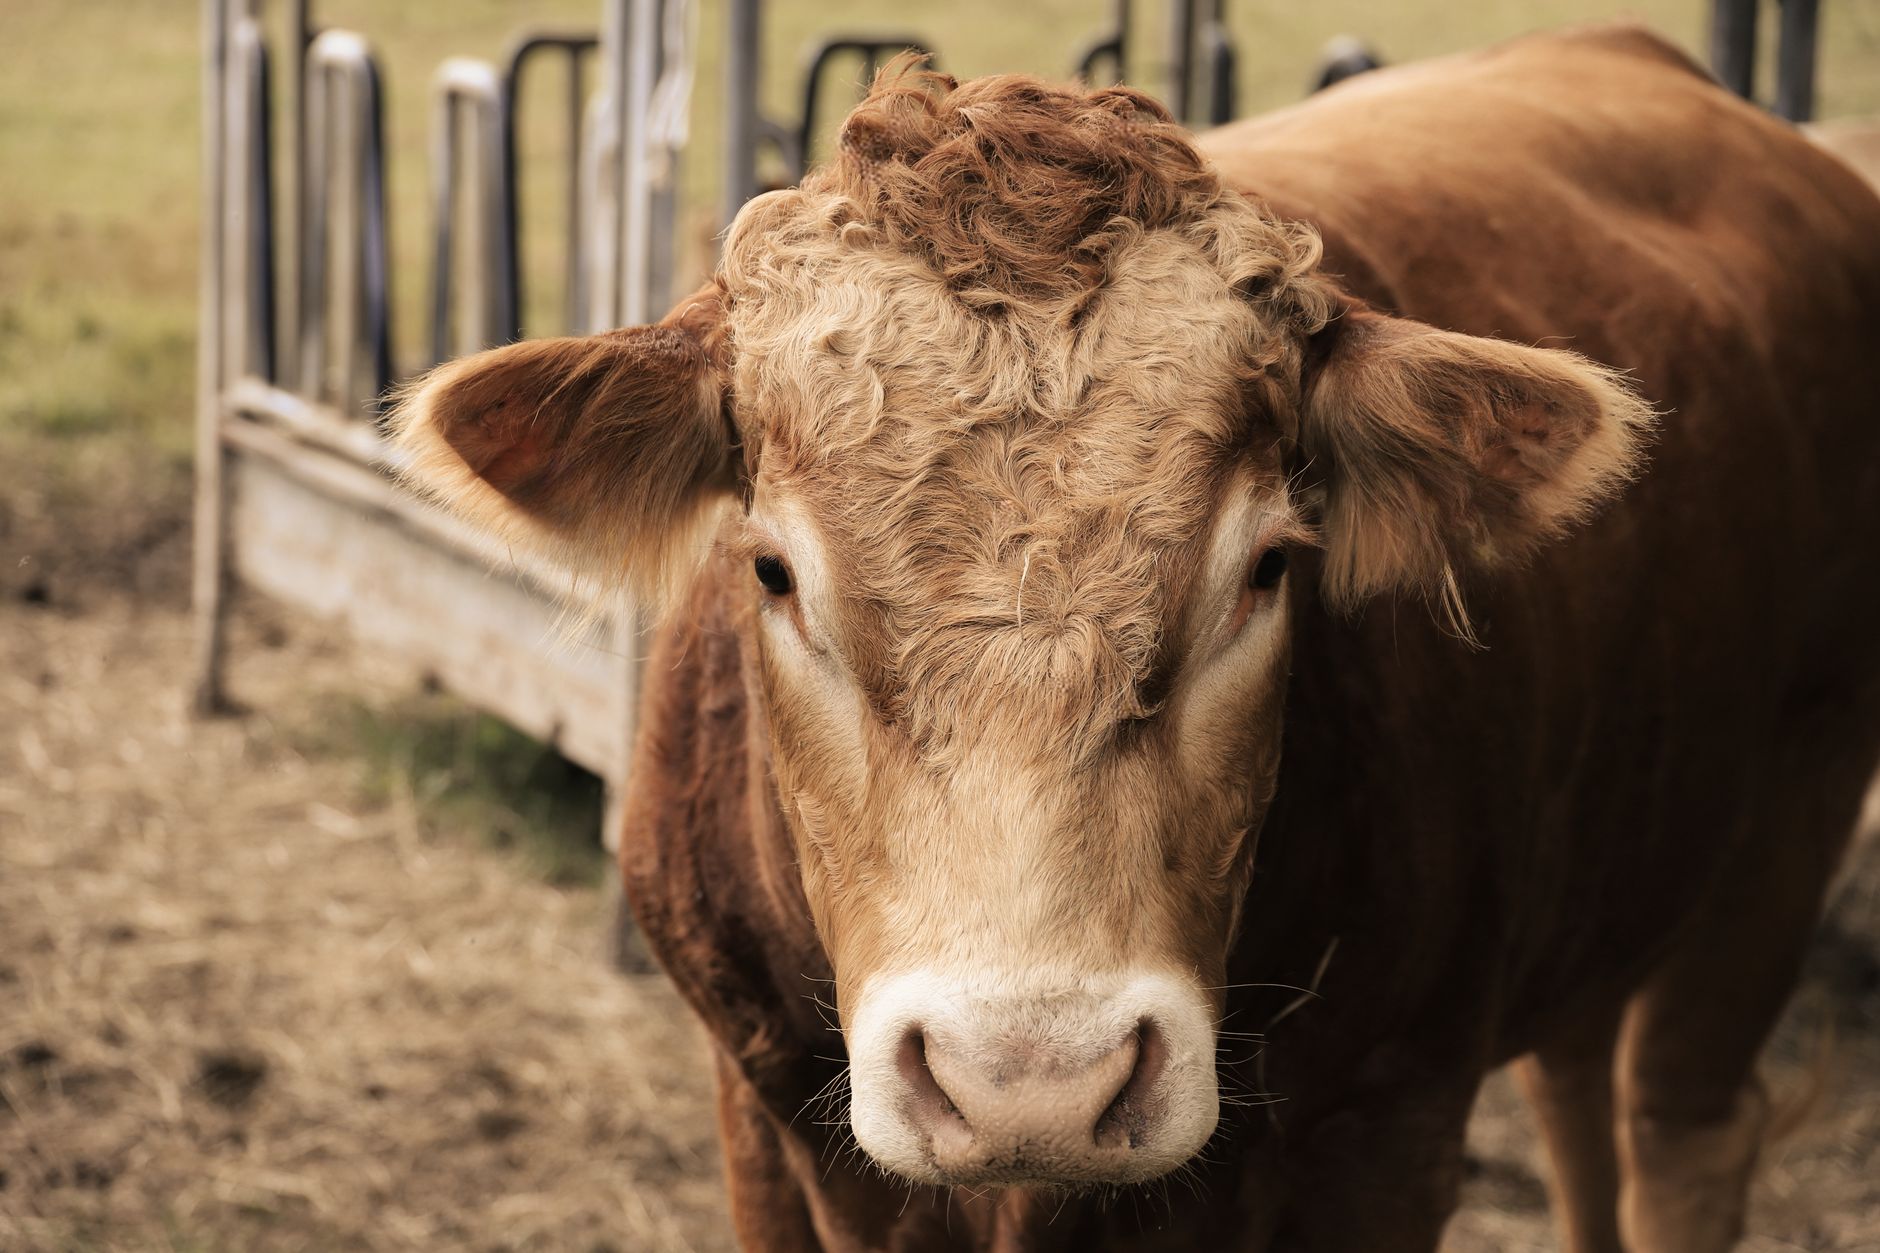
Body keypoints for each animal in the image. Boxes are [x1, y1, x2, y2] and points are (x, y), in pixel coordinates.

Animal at [391, 24, 1880, 1252]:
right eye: (772, 571)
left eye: (1269, 567)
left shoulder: (1392, 1126)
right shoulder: (757, 1111)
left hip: (1791, 814)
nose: (1032, 1081)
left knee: (1677, 1128)